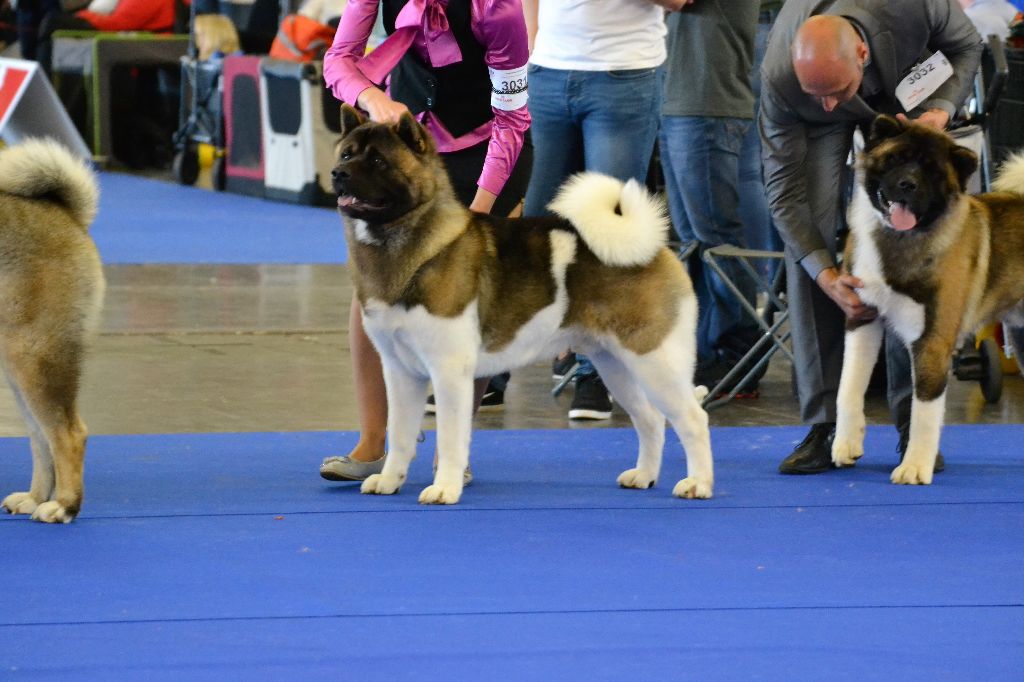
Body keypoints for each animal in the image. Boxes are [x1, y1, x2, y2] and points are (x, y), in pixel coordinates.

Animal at [0, 138, 105, 520]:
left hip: (35, 358)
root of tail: (66, 216)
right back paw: (36, 497)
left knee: (68, 434)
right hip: (19, 366)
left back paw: (63, 506)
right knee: (40, 437)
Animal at [333, 104, 712, 499]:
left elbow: (451, 438)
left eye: (378, 160)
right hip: (615, 365)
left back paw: (698, 483)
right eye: (346, 154)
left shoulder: (449, 370)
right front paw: (390, 480)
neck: (413, 243)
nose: (337, 174)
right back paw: (644, 475)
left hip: (655, 360)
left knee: (692, 419)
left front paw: (445, 488)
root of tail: (652, 244)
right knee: (650, 419)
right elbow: (401, 433)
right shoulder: (400, 371)